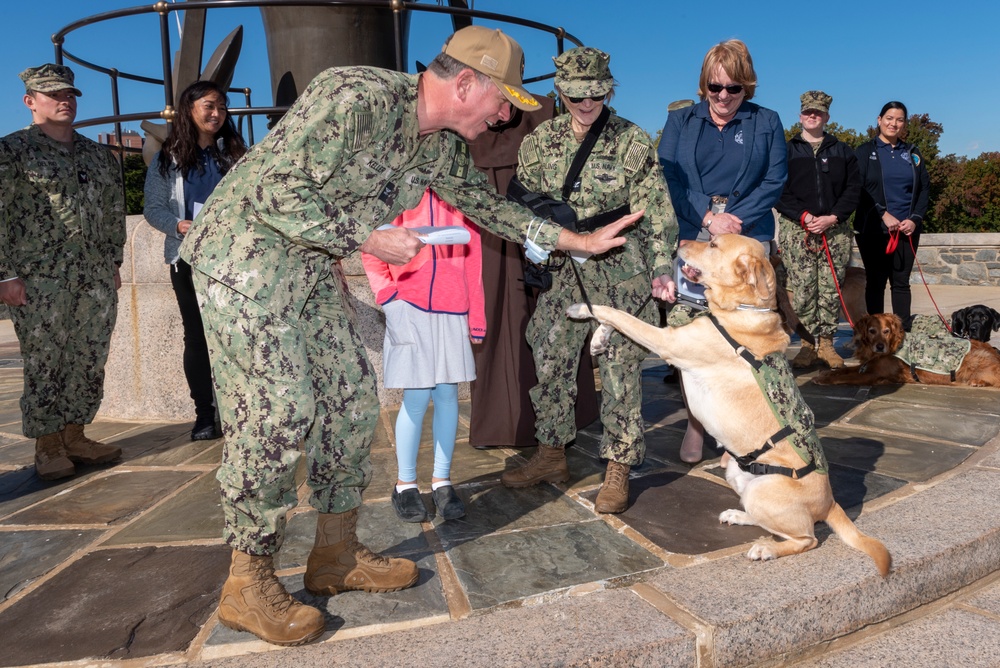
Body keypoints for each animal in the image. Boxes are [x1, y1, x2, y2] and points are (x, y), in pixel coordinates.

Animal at [572, 235, 892, 576]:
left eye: (713, 244)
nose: (680, 240)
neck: (741, 308)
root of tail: (831, 504)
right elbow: (619, 316)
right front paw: (598, 338)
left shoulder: (667, 342)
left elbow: (621, 315)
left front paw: (580, 309)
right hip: (736, 474)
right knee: (764, 518)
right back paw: (738, 516)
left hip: (765, 493)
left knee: (807, 539)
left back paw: (766, 549)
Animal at [812, 314, 1000, 386]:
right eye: (872, 331)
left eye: (886, 331)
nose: (880, 346)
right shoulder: (867, 366)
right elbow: (844, 371)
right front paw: (825, 373)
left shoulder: (873, 375)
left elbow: (846, 377)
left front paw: (823, 379)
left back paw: (979, 381)